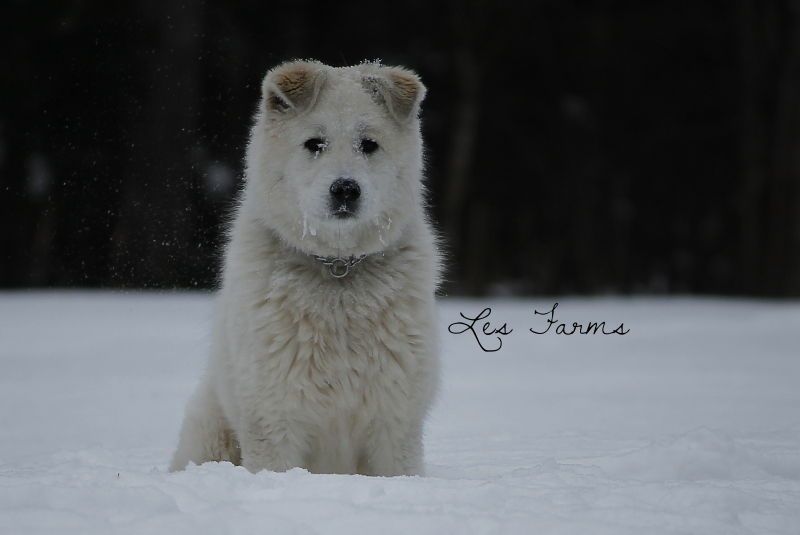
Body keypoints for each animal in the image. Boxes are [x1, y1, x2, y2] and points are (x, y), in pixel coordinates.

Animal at [169, 60, 440, 476]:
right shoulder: (272, 419)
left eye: (369, 144)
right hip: (211, 433)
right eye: (315, 143)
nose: (345, 189)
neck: (338, 269)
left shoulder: (396, 422)